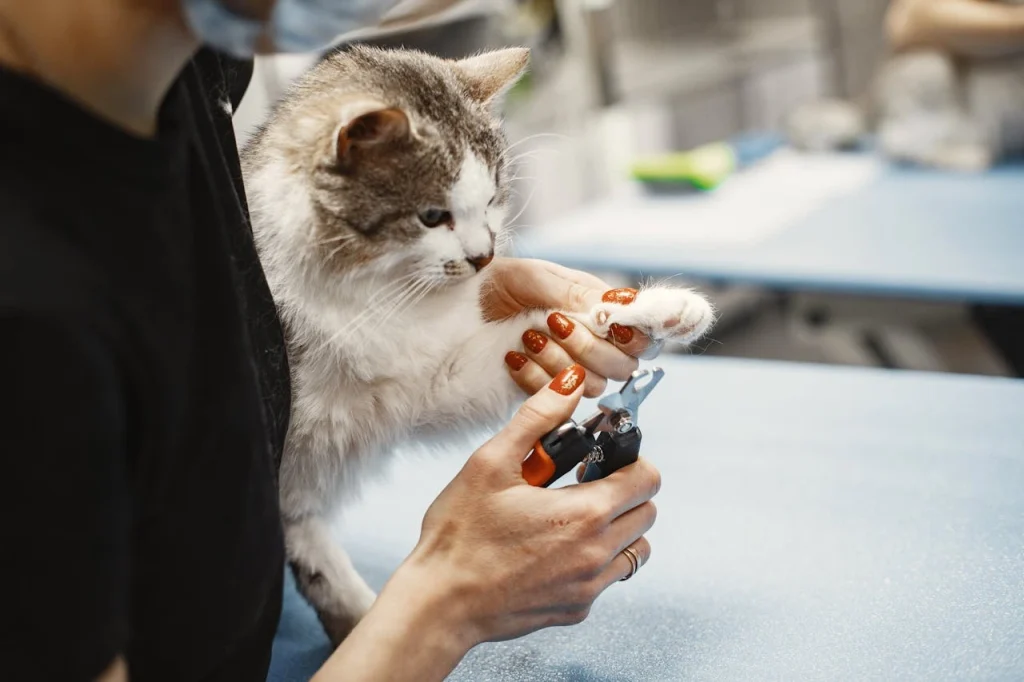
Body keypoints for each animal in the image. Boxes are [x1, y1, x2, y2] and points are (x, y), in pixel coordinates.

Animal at [243, 46, 716, 643]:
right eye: (431, 216)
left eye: (492, 198)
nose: (485, 256)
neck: (376, 294)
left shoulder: (436, 373)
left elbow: (552, 326)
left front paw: (651, 311)